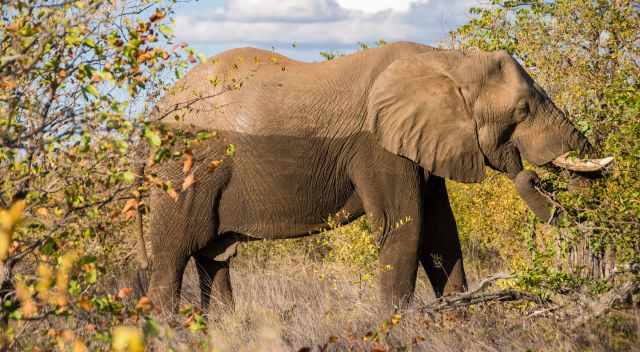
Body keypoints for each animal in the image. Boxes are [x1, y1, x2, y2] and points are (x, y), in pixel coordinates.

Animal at [139, 41, 608, 316]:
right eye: (523, 110)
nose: (529, 172)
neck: (449, 59)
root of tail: (152, 114)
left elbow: (441, 234)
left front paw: (460, 324)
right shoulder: (378, 146)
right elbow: (404, 228)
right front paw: (396, 330)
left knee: (214, 259)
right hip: (184, 173)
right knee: (172, 260)